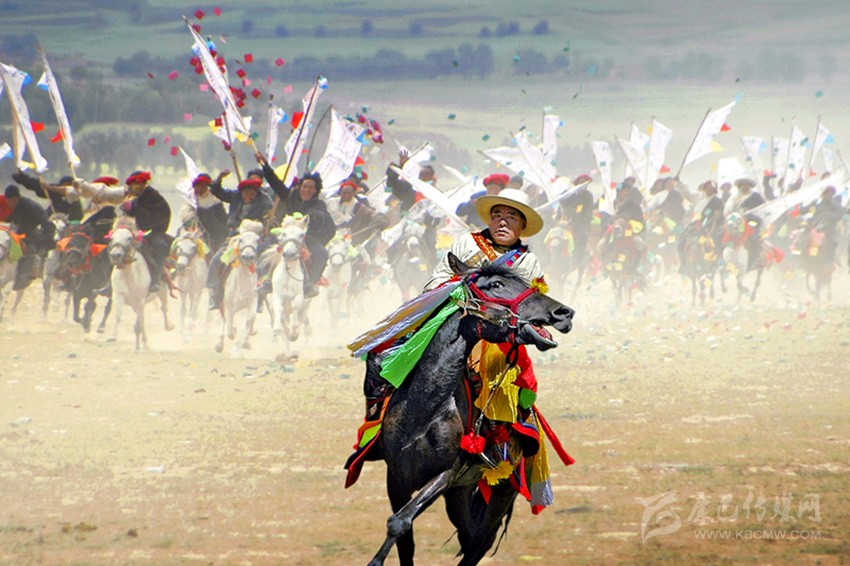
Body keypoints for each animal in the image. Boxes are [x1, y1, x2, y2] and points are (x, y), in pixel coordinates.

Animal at [107, 217, 174, 350]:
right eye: (112, 238)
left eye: (129, 238)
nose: (115, 255)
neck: (129, 276)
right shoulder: (119, 296)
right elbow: (118, 315)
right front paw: (112, 336)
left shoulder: (140, 300)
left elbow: (137, 325)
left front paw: (137, 347)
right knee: (143, 319)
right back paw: (145, 342)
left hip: (162, 291)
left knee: (164, 307)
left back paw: (169, 326)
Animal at [215, 219, 262, 353]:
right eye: (241, 239)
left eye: (257, 240)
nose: (248, 256)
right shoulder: (229, 305)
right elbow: (229, 330)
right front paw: (233, 333)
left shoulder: (252, 302)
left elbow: (250, 319)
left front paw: (247, 341)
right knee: (223, 321)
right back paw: (219, 344)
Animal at [260, 214, 311, 353]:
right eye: (284, 233)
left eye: (302, 235)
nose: (289, 254)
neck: (288, 275)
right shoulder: (277, 296)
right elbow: (278, 308)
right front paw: (277, 329)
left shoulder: (300, 296)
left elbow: (296, 306)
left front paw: (294, 332)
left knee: (301, 318)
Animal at [364, 254, 574, 566]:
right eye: (497, 284)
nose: (564, 313)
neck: (423, 409)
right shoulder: (397, 479)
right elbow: (405, 538)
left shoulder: (445, 476)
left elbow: (399, 522)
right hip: (460, 494)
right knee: (468, 534)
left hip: (502, 489)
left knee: (479, 541)